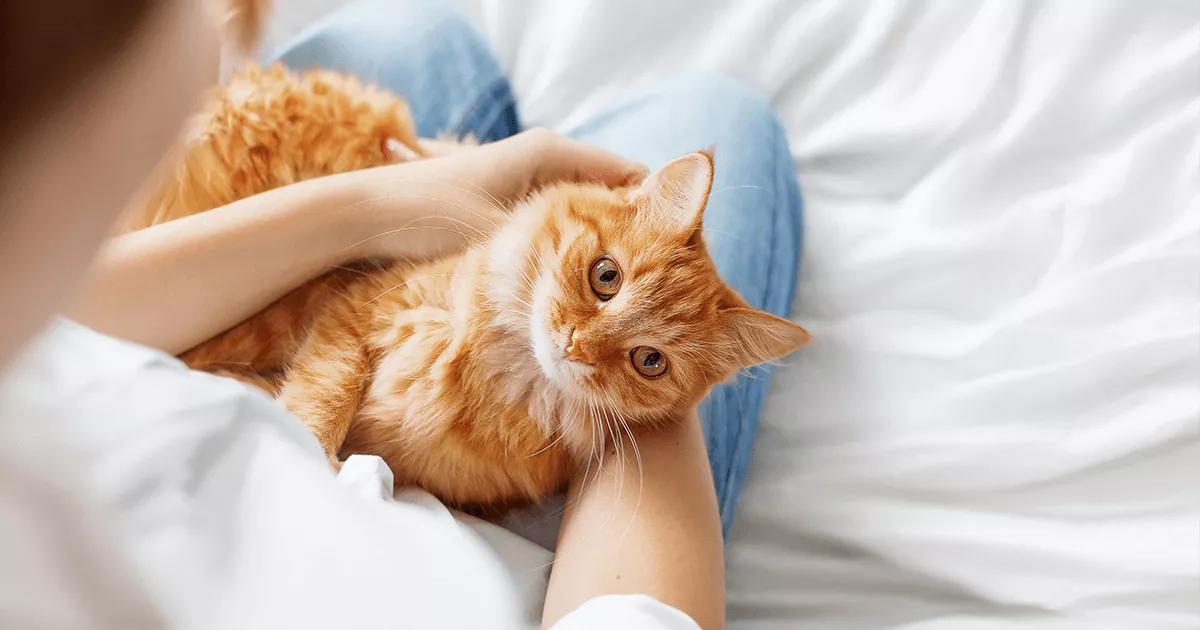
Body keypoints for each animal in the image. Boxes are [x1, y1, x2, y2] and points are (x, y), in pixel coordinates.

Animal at [138, 65, 816, 511]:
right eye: (606, 277)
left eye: (649, 361)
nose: (574, 344)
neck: (497, 368)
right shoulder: (347, 307)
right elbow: (322, 393)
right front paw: (306, 445)